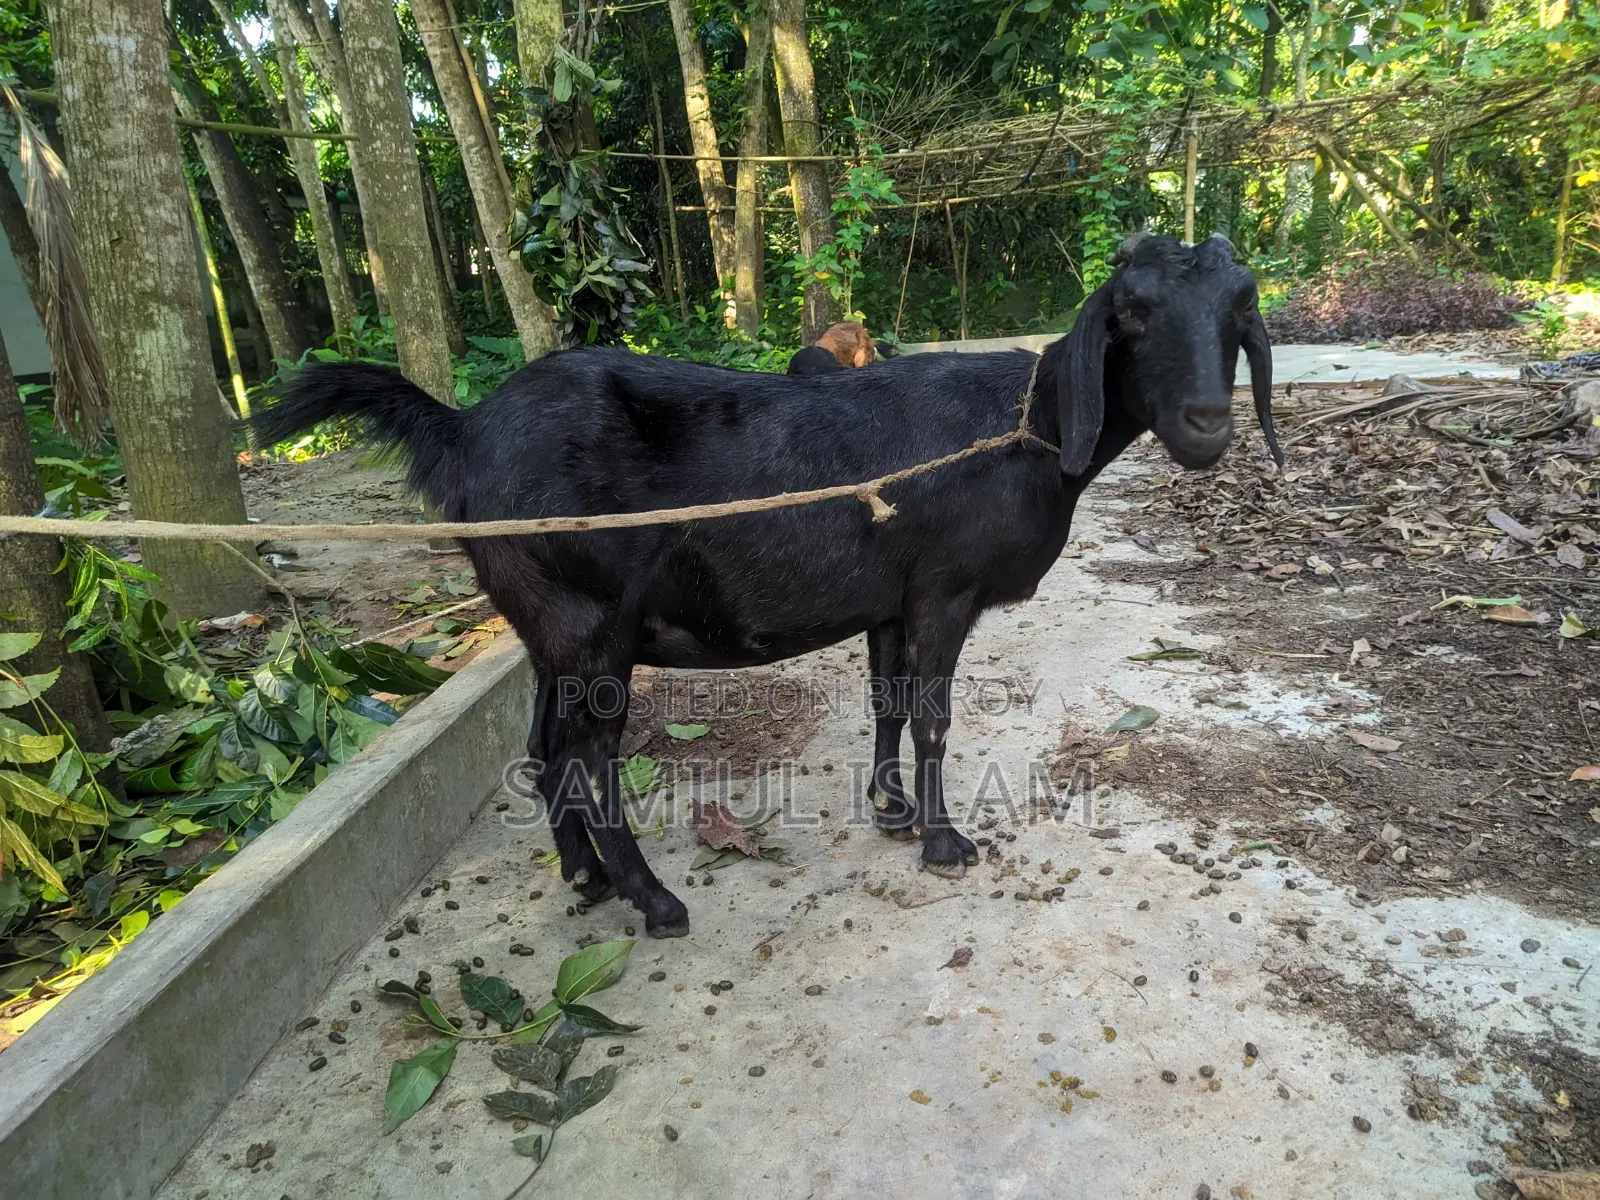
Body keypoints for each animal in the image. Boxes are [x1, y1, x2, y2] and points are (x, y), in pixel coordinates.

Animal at [252, 232, 1279, 939]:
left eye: (1239, 311)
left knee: (545, 748)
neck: (1024, 429)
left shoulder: (891, 597)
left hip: (548, 626)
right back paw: (655, 900)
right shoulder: (944, 591)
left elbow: (888, 703)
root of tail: (462, 433)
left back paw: (586, 877)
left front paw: (890, 810)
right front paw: (944, 841)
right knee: (587, 757)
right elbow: (934, 716)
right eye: (1131, 314)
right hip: (588, 624)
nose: (1205, 422)